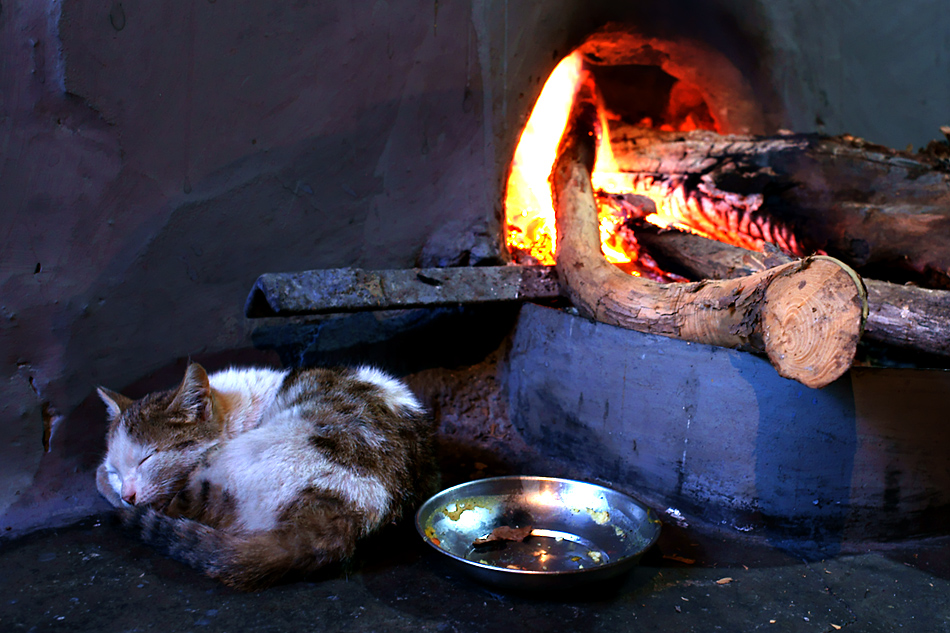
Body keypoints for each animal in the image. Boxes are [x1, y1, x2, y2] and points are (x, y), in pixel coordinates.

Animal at [96, 362, 438, 592]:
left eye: (147, 458)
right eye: (118, 471)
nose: (128, 493)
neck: (241, 406)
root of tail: (342, 517)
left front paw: (112, 492)